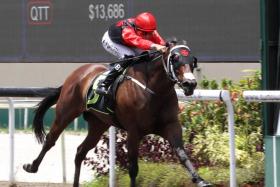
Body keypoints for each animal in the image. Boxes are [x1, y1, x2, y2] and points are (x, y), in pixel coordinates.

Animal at [23, 43, 211, 186]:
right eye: (175, 59)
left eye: (192, 61)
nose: (190, 84)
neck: (154, 90)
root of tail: (78, 73)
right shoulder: (134, 131)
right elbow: (133, 168)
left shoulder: (171, 126)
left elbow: (182, 154)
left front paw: (200, 180)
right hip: (66, 111)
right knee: (50, 140)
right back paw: (31, 166)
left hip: (98, 124)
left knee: (80, 151)